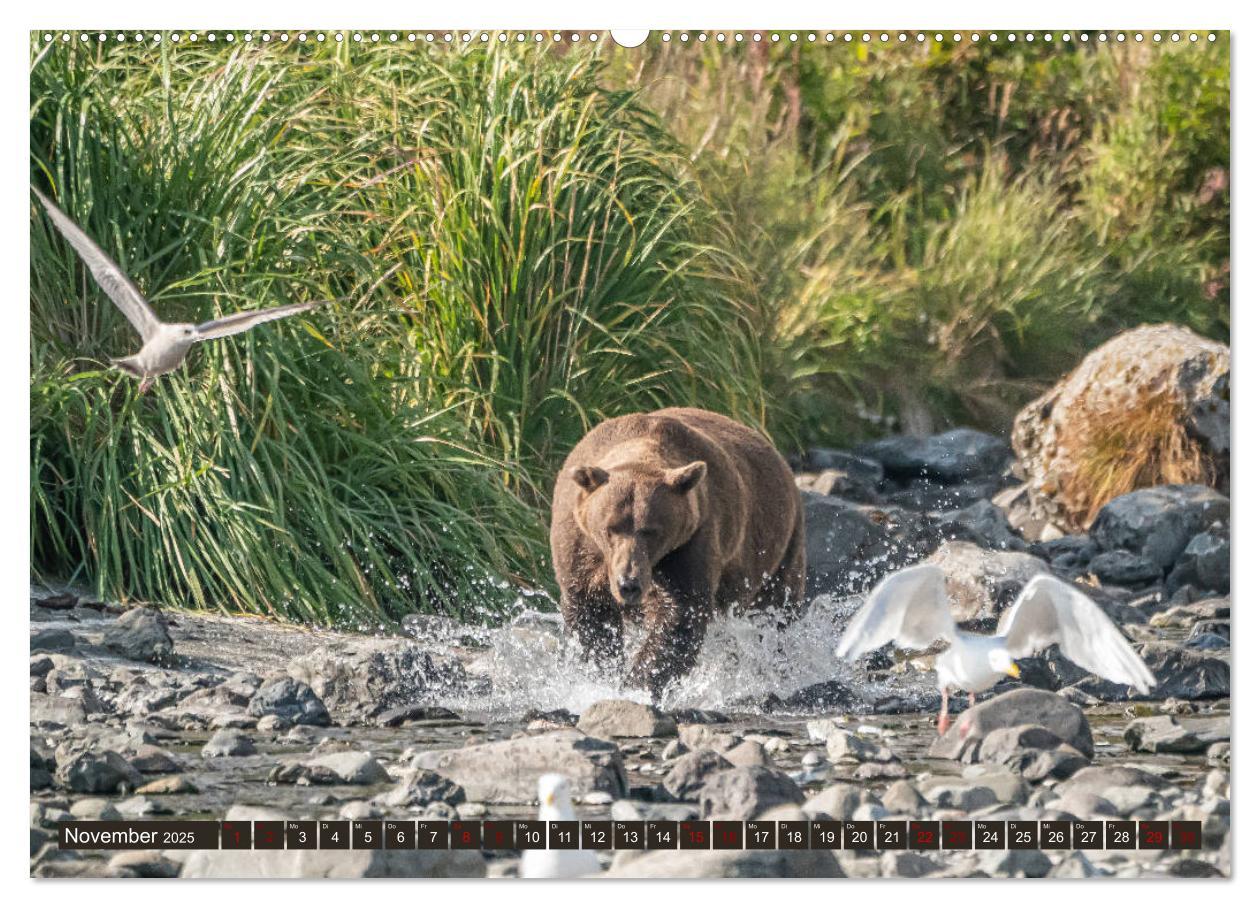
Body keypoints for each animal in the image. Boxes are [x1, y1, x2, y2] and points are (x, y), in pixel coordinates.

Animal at [551, 408, 806, 700]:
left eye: (652, 531)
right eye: (610, 528)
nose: (629, 584)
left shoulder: (690, 542)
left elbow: (680, 612)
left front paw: (637, 684)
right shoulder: (580, 546)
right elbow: (588, 612)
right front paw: (600, 674)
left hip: (781, 547)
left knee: (775, 612)